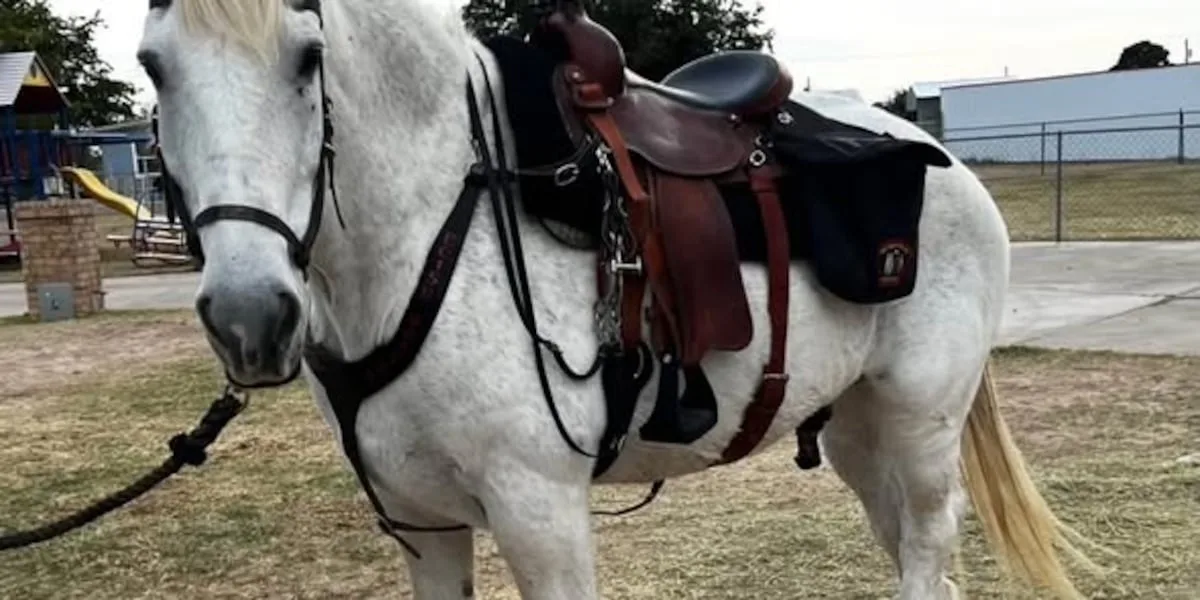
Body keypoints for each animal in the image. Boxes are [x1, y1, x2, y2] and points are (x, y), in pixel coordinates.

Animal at [137, 0, 1097, 598]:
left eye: (309, 58)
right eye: (153, 66)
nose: (251, 315)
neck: (440, 217)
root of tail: (935, 154)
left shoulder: (542, 516)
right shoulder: (421, 524)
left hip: (922, 423)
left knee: (929, 547)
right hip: (859, 428)